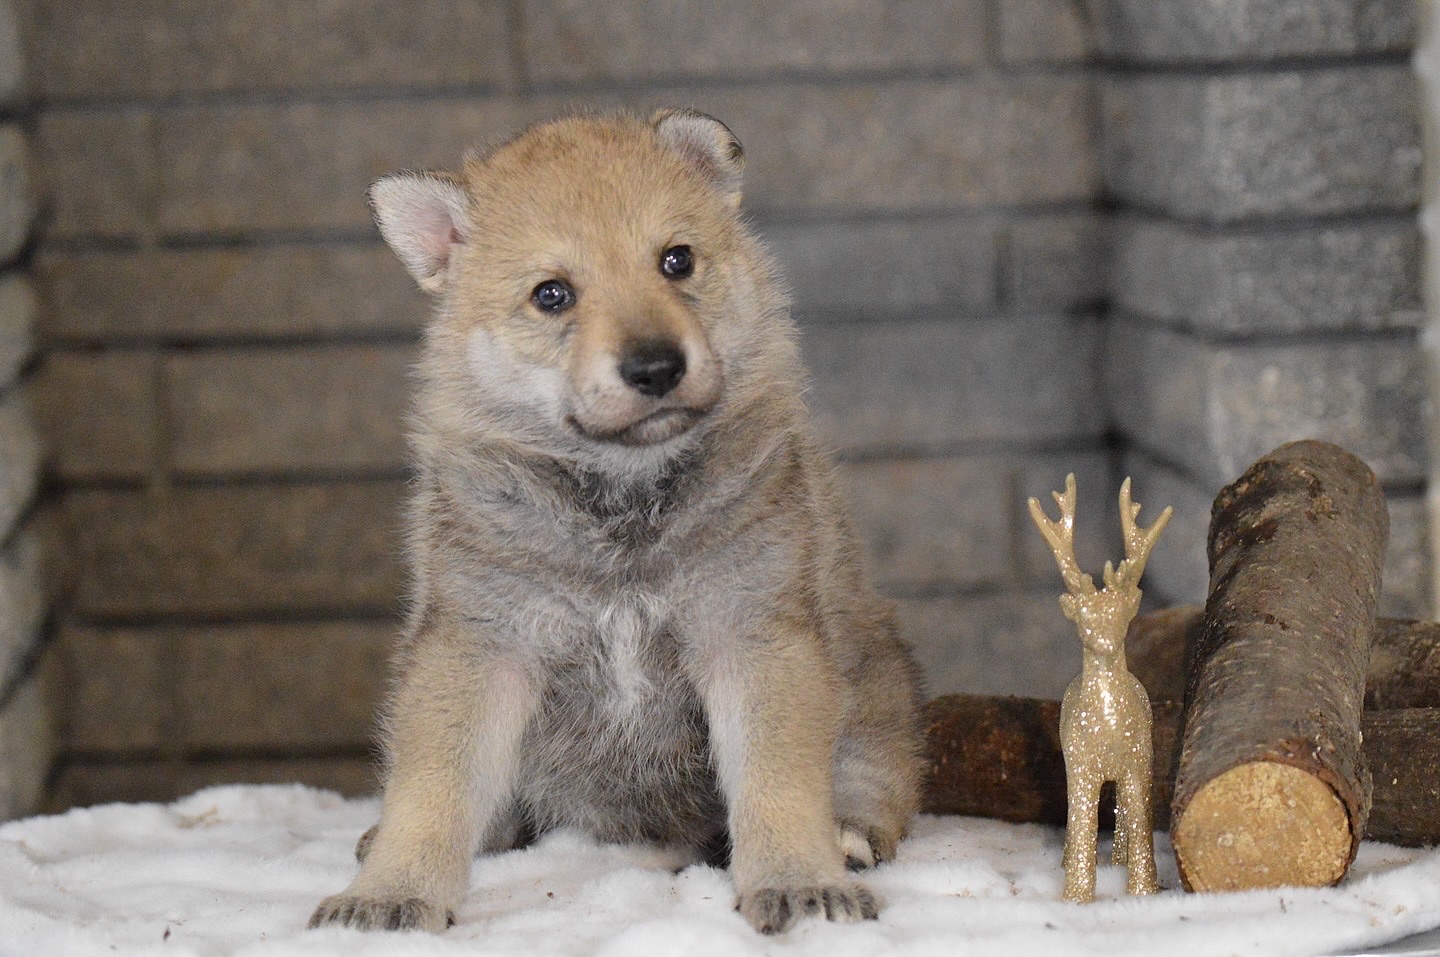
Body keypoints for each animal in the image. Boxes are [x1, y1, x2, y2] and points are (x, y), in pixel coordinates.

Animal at [309, 106, 927, 932]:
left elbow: (779, 778)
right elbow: (432, 784)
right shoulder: (479, 646)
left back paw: (850, 835)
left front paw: (800, 877)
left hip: (876, 687)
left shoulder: (753, 633)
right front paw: (392, 888)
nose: (656, 366)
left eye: (677, 260)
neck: (623, 507)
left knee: (874, 772)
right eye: (551, 294)